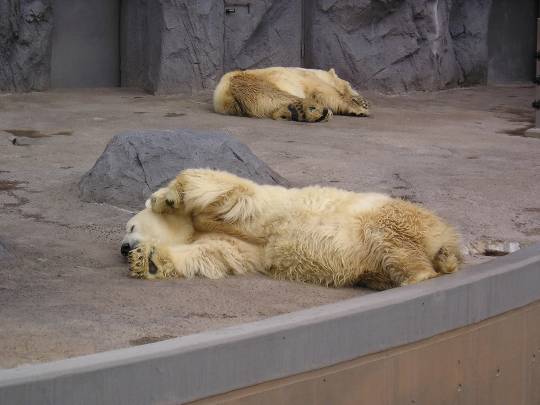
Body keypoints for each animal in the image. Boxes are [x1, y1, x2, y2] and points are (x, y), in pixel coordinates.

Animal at [120, 168, 462, 290]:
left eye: (131, 225)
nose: (123, 248)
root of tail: (445, 233)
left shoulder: (256, 208)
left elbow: (228, 190)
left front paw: (166, 197)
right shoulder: (244, 247)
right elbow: (214, 253)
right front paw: (146, 261)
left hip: (385, 216)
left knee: (391, 239)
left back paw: (418, 276)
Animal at [213, 66, 370, 121]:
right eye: (349, 84)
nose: (360, 97)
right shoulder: (308, 78)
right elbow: (327, 93)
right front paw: (360, 108)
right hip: (254, 82)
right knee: (278, 95)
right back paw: (316, 111)